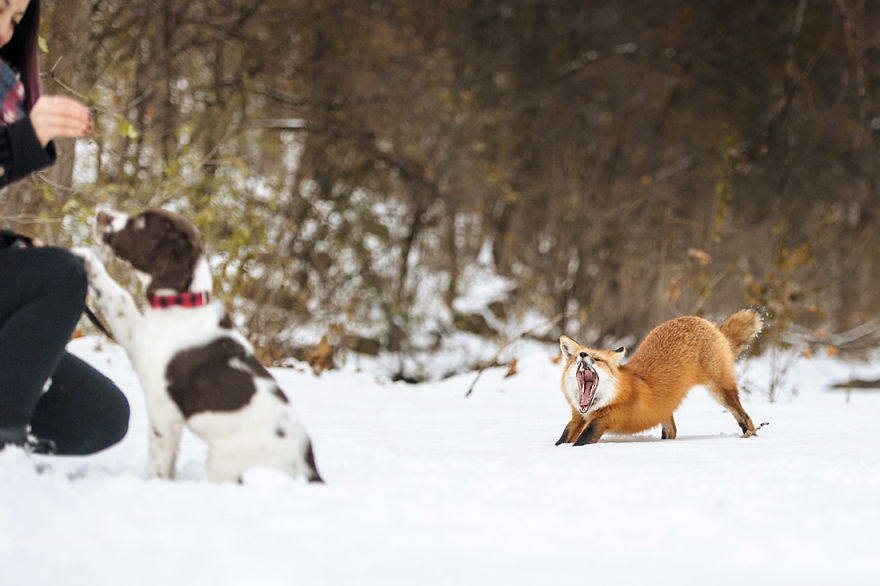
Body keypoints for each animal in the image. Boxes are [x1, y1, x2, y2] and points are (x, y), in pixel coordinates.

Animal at [556, 308, 763, 446]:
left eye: (598, 359)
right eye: (578, 355)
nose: (583, 355)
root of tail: (707, 323)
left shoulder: (604, 420)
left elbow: (581, 441)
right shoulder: (578, 417)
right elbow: (563, 438)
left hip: (721, 391)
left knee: (746, 418)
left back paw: (750, 436)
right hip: (665, 409)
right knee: (672, 431)